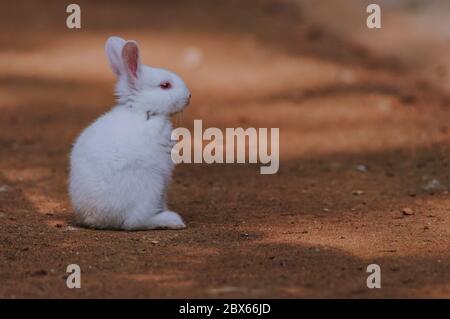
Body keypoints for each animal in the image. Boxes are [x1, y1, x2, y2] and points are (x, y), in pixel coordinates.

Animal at [68, 37, 190, 230]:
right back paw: (171, 220)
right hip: (151, 185)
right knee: (135, 222)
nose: (189, 96)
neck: (144, 111)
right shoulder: (163, 174)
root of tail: (99, 219)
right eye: (165, 85)